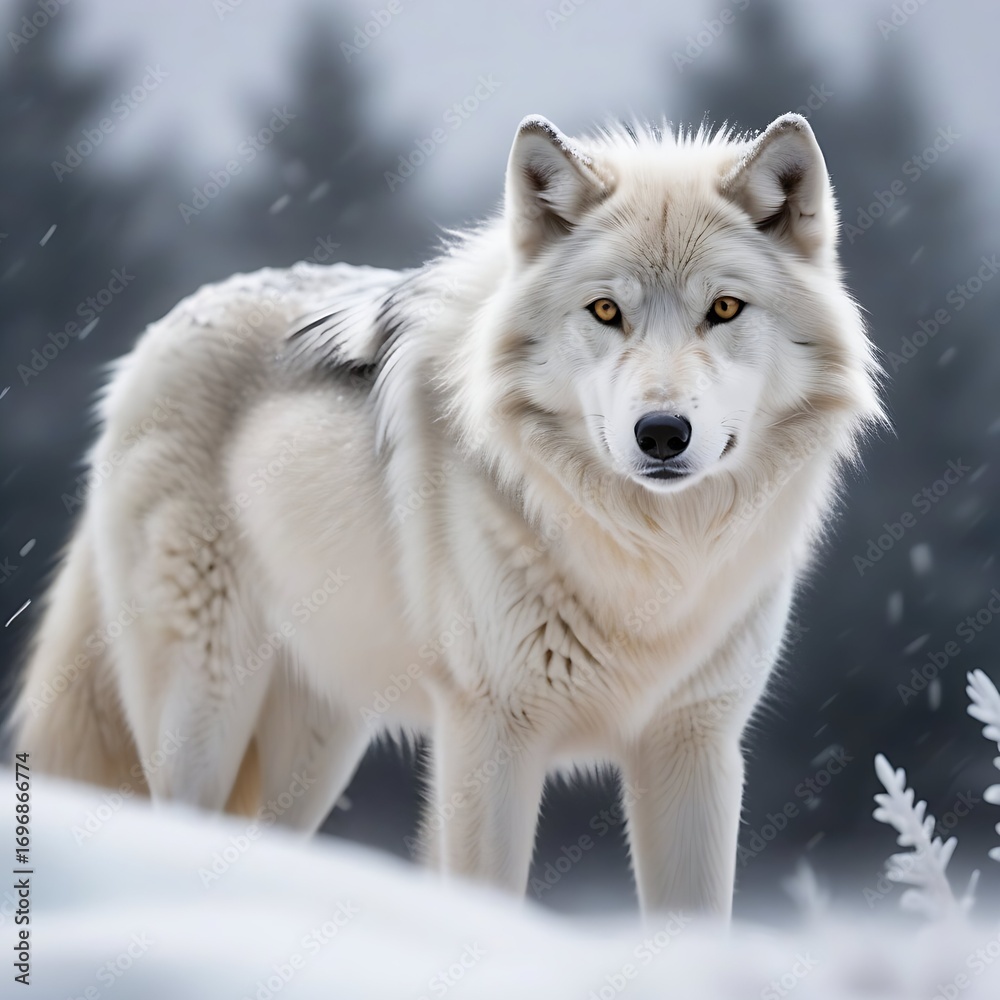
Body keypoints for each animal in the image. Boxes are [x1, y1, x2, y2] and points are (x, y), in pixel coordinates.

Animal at [11, 112, 881, 917]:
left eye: (725, 308)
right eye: (605, 312)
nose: (662, 433)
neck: (646, 562)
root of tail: (154, 336)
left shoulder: (694, 744)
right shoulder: (488, 736)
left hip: (321, 738)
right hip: (203, 714)